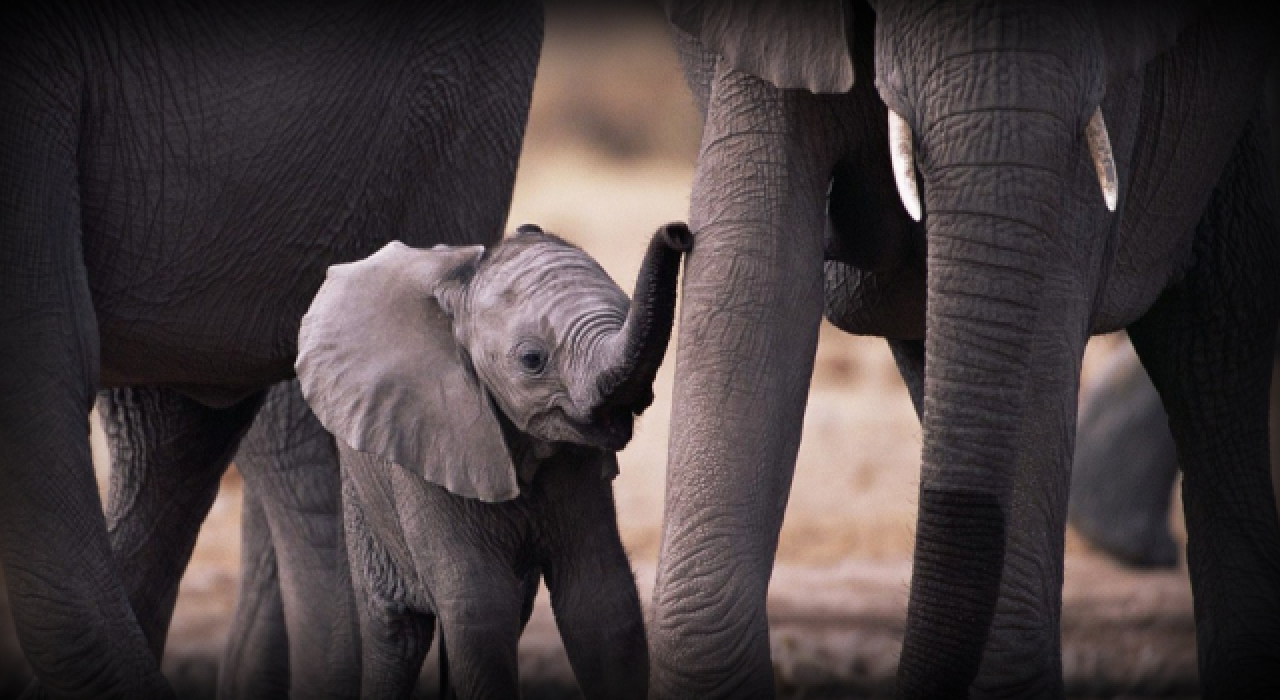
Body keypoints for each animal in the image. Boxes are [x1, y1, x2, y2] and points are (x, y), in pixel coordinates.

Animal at [295, 225, 696, 700]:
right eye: (532, 360)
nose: (678, 233)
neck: (462, 289)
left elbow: (601, 601)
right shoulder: (432, 443)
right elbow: (481, 609)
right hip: (363, 489)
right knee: (397, 631)